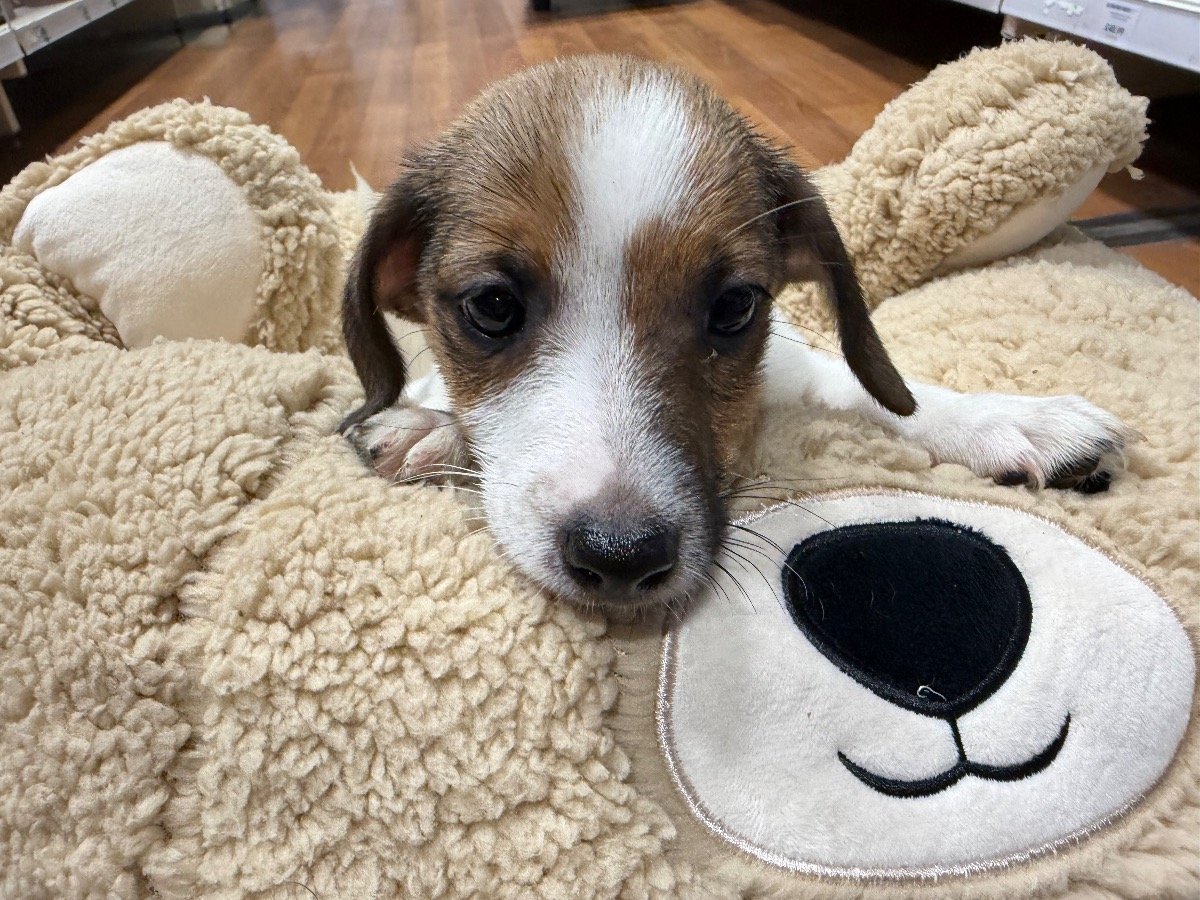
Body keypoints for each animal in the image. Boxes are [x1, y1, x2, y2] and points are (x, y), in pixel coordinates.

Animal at [338, 55, 1128, 610]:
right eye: (494, 306)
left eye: (733, 308)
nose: (621, 556)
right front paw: (427, 427)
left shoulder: (792, 363)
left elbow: (872, 389)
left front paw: (1006, 418)